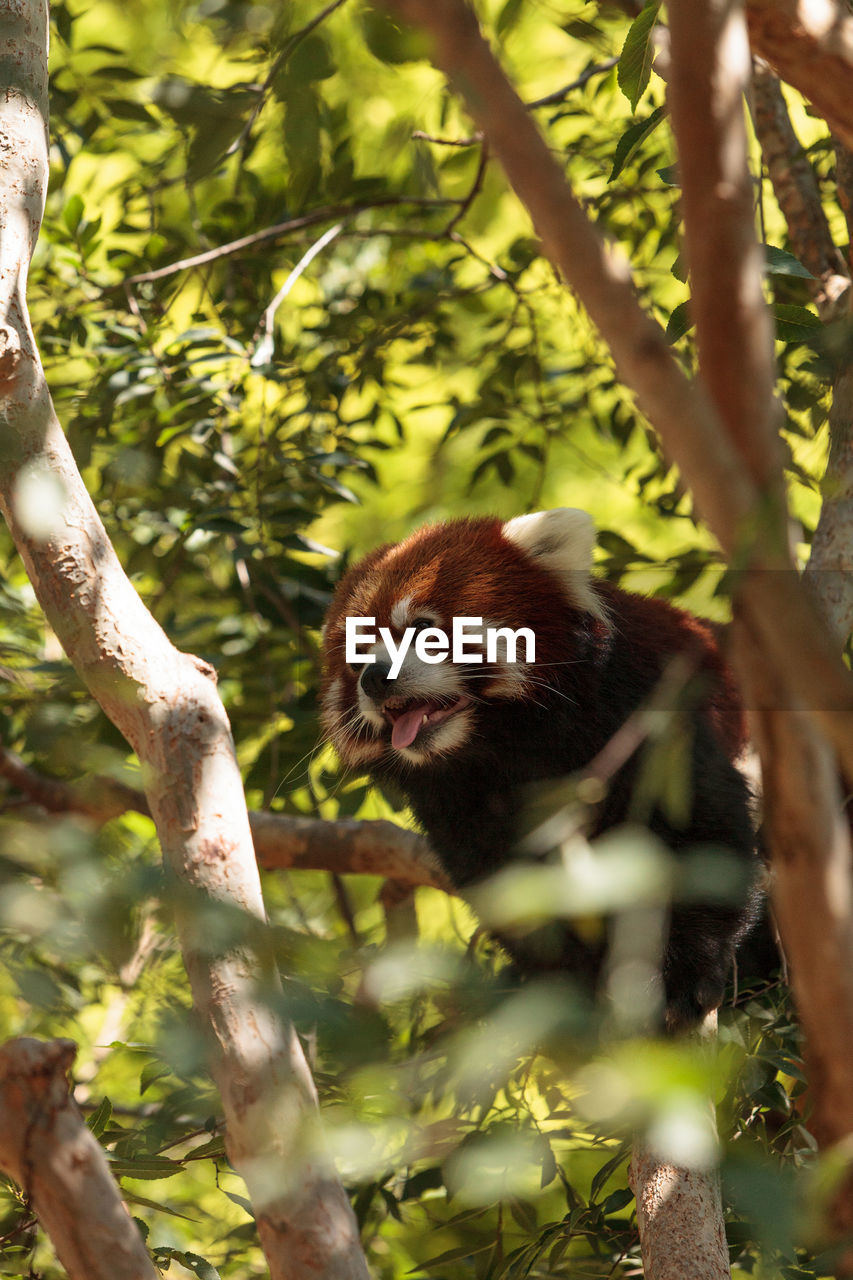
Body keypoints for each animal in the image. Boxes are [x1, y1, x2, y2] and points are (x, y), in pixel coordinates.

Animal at [320, 509, 758, 1029]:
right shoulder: (460, 805)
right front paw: (565, 981)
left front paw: (685, 976)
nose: (373, 678)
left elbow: (702, 831)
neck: (503, 743)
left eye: (424, 628)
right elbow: (513, 888)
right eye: (355, 656)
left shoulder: (648, 705)